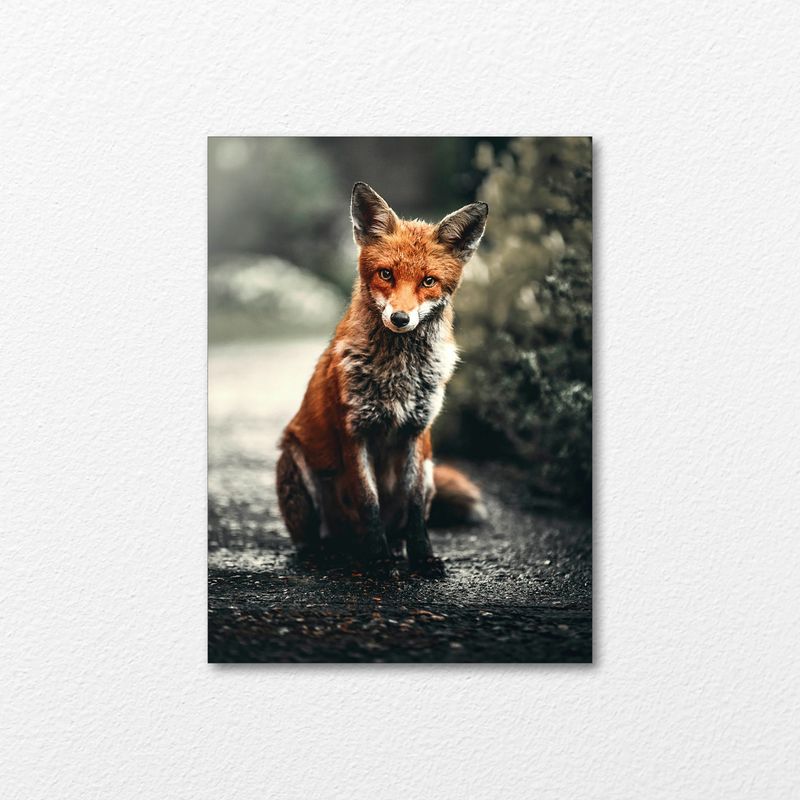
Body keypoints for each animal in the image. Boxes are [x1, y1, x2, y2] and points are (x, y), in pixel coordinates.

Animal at [276, 182, 488, 577]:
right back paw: (330, 553)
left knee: (401, 523)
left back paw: (396, 548)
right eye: (386, 274)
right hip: (296, 463)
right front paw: (378, 560)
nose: (401, 318)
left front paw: (422, 557)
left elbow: (416, 509)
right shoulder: (354, 431)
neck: (397, 374)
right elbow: (368, 501)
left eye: (428, 281)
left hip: (431, 469)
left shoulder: (417, 433)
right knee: (314, 539)